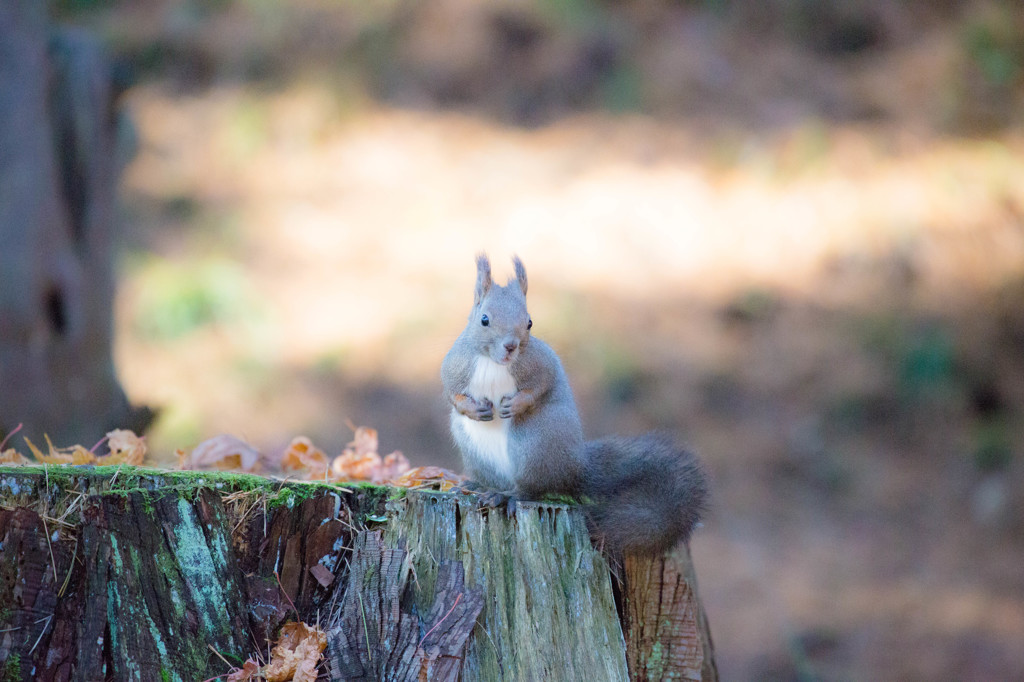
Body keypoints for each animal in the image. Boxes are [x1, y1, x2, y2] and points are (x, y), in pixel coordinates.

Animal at [444, 251, 708, 557]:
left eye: (529, 322)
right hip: (475, 448)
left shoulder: (542, 362)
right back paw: (476, 485)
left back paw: (506, 496)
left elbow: (542, 385)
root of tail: (575, 469)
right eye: (484, 319)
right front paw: (474, 409)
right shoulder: (454, 365)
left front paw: (517, 404)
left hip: (536, 443)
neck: (492, 362)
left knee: (531, 489)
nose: (511, 346)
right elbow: (452, 392)